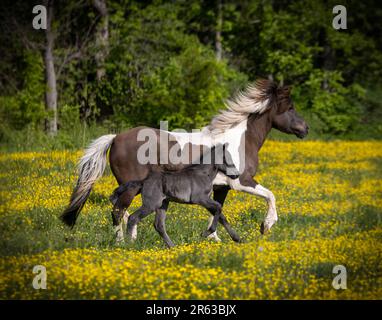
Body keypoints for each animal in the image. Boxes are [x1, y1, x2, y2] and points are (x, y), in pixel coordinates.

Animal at [110, 143, 240, 248]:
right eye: (226, 158)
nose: (237, 175)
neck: (203, 174)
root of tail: (143, 181)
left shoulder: (206, 201)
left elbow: (221, 215)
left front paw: (237, 238)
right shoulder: (201, 199)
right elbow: (219, 207)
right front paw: (205, 233)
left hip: (162, 204)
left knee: (159, 225)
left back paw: (172, 247)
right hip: (151, 204)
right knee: (133, 218)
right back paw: (128, 244)